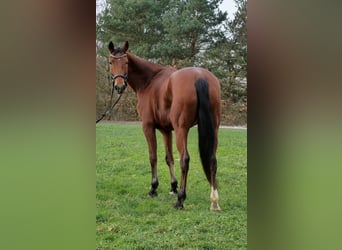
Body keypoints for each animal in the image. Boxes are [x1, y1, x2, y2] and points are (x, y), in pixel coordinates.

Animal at [108, 41, 223, 211]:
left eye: (126, 62)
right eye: (111, 62)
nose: (119, 86)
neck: (149, 81)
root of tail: (200, 77)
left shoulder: (148, 127)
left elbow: (153, 157)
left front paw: (153, 188)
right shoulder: (166, 130)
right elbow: (169, 158)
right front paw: (173, 187)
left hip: (182, 130)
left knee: (185, 160)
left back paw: (180, 200)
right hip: (214, 128)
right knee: (212, 160)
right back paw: (214, 201)